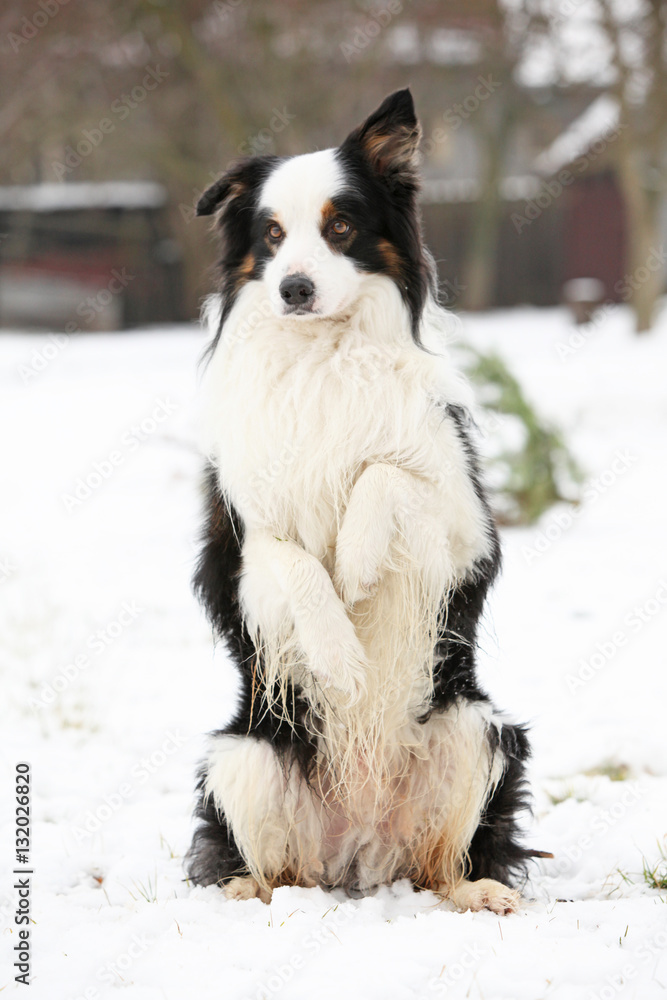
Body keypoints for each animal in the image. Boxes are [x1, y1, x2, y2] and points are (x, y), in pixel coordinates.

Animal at [185, 90, 536, 912]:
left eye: (339, 226)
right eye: (271, 235)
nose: (294, 289)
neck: (325, 353)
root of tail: (362, 850)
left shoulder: (464, 526)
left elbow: (385, 475)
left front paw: (356, 560)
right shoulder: (238, 550)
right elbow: (293, 564)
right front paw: (340, 655)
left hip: (479, 727)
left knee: (442, 865)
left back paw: (477, 893)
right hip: (242, 753)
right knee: (274, 870)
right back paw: (249, 895)